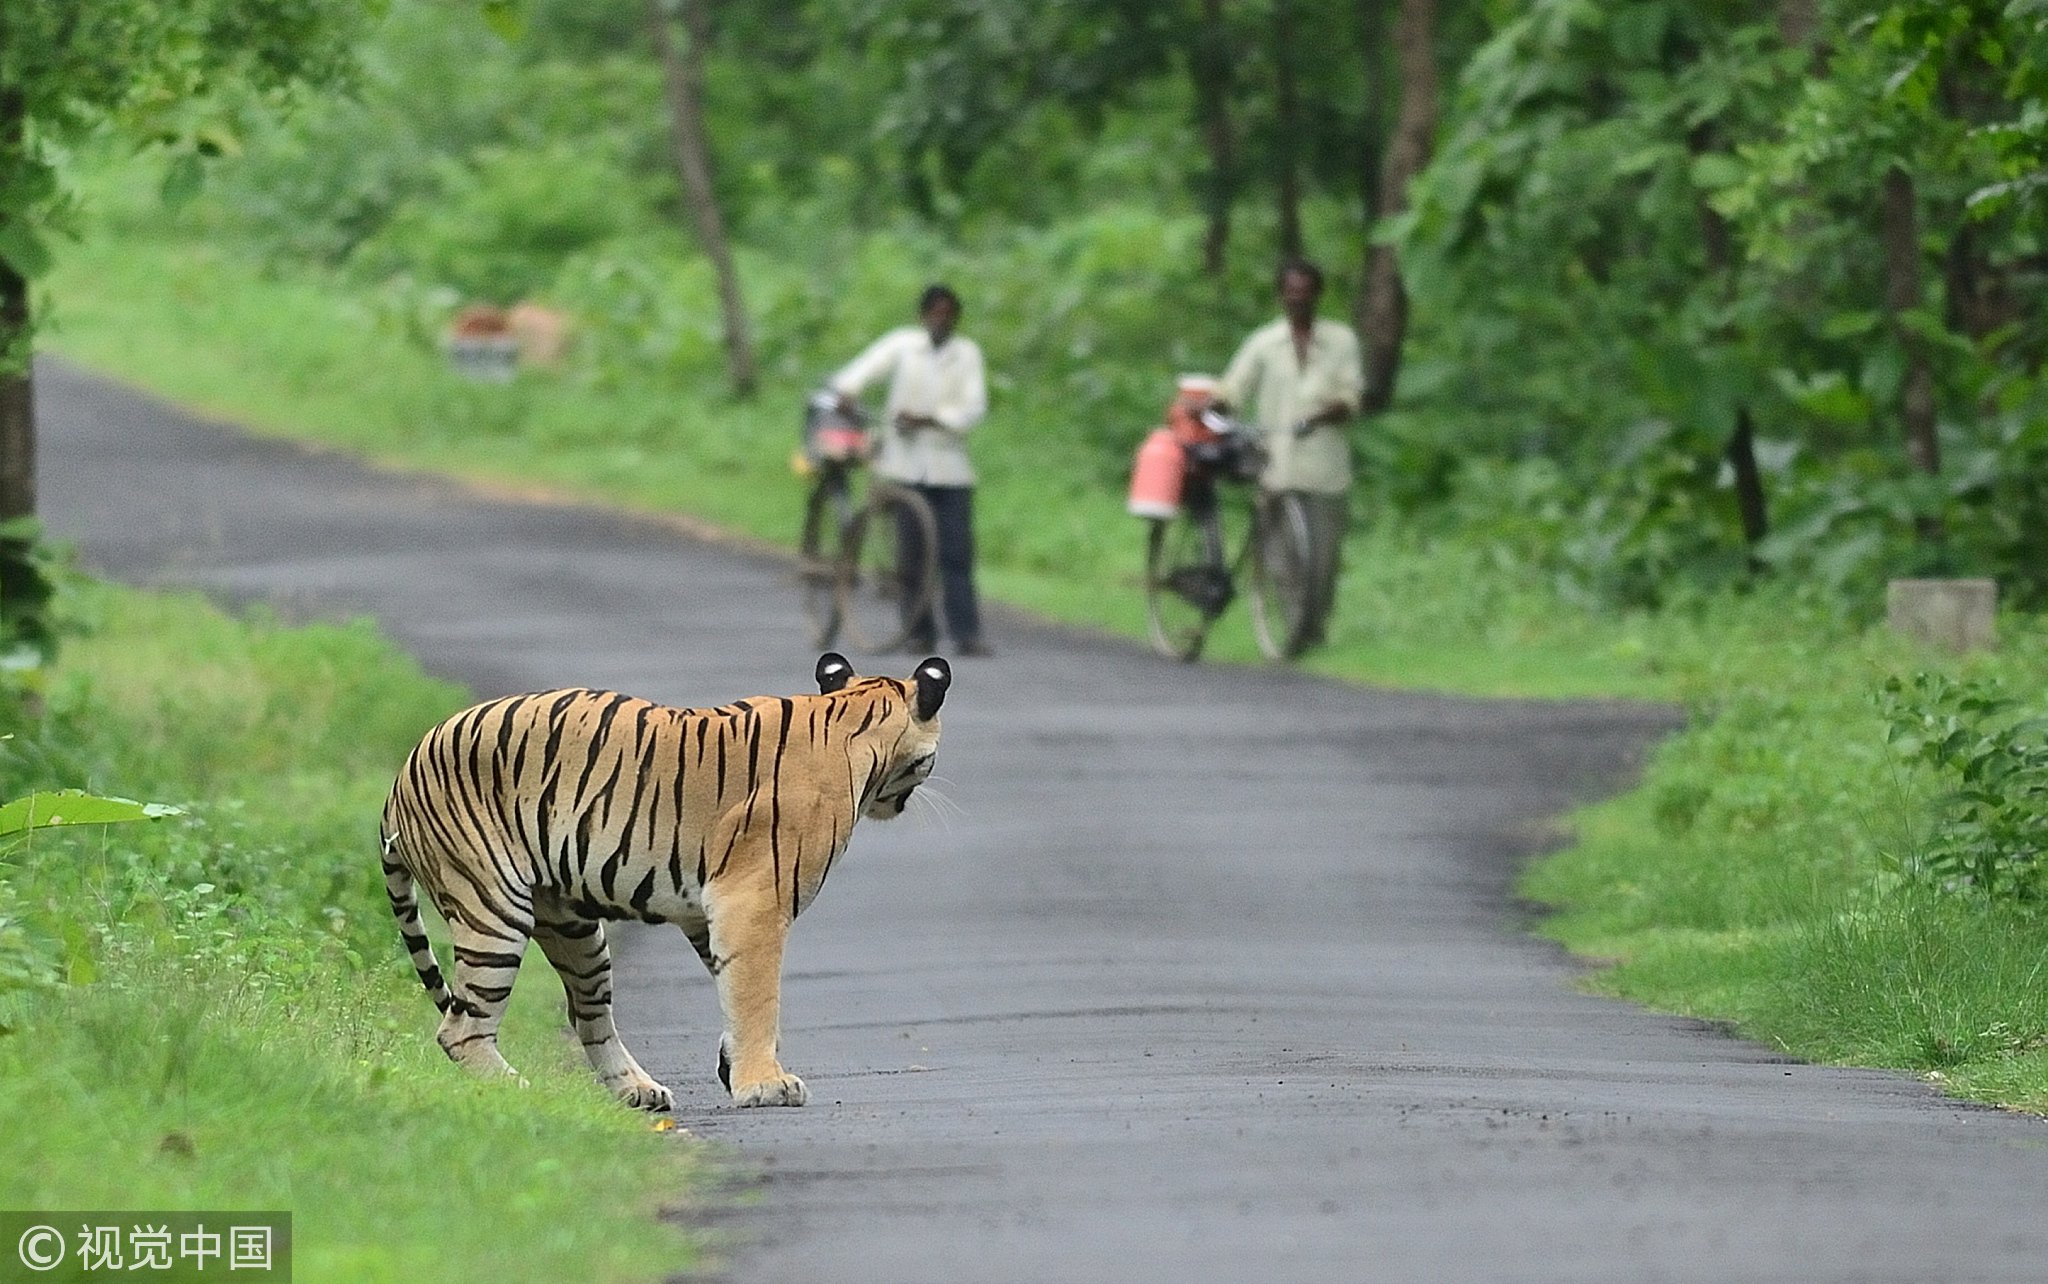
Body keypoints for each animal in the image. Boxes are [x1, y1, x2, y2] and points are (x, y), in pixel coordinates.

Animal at [377, 652, 950, 1109]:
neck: (853, 715)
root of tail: (399, 778)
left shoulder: (712, 913)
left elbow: (736, 990)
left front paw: (736, 1064)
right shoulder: (753, 902)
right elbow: (757, 995)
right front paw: (765, 1085)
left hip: (574, 929)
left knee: (588, 1015)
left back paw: (638, 1090)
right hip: (493, 909)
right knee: (461, 1029)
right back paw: (521, 1093)